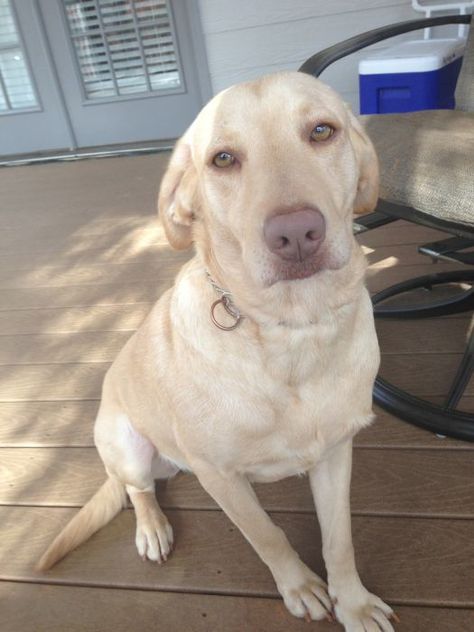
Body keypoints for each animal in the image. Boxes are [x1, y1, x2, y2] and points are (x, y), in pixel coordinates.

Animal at [38, 73, 396, 628]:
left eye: (322, 131)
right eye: (223, 159)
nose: (295, 233)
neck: (291, 331)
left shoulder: (337, 451)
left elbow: (339, 540)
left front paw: (352, 602)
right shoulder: (219, 476)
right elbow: (266, 535)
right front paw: (300, 586)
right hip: (127, 445)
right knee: (138, 490)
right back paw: (152, 528)